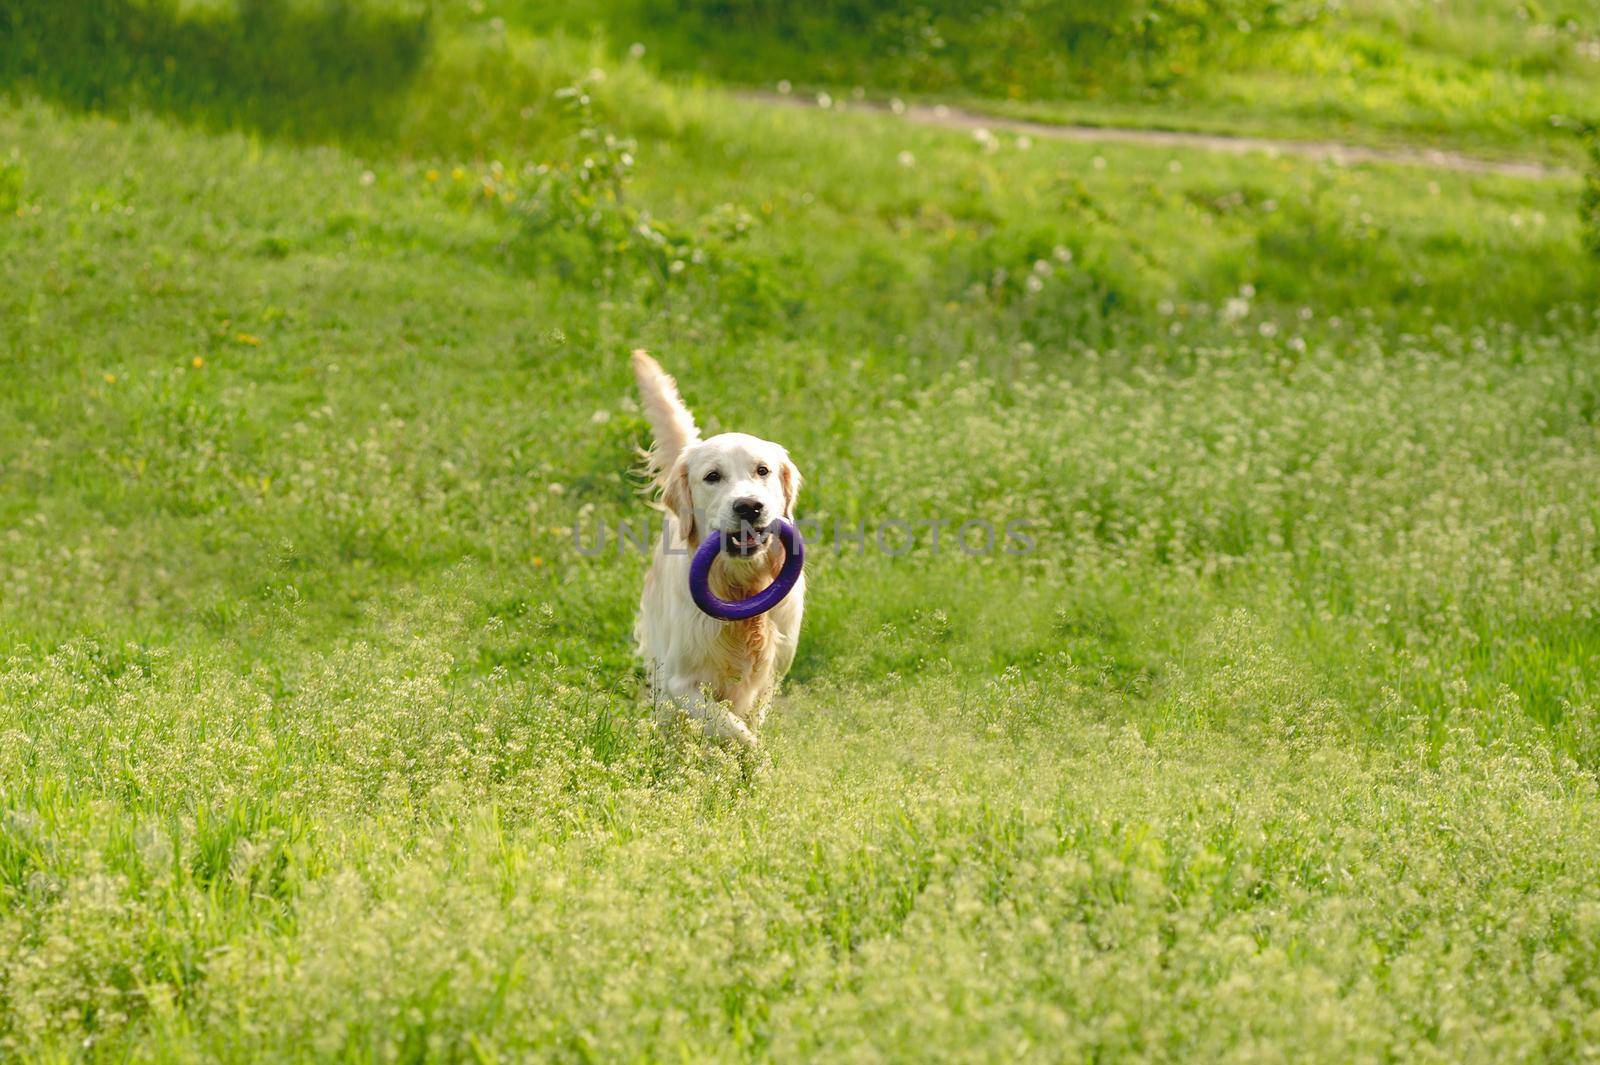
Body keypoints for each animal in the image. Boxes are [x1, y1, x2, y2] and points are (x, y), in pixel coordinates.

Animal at [630, 350, 806, 745]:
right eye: (712, 476)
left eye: (762, 470)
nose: (749, 507)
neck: (741, 586)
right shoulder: (680, 684)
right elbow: (735, 731)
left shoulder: (769, 677)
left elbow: (746, 724)